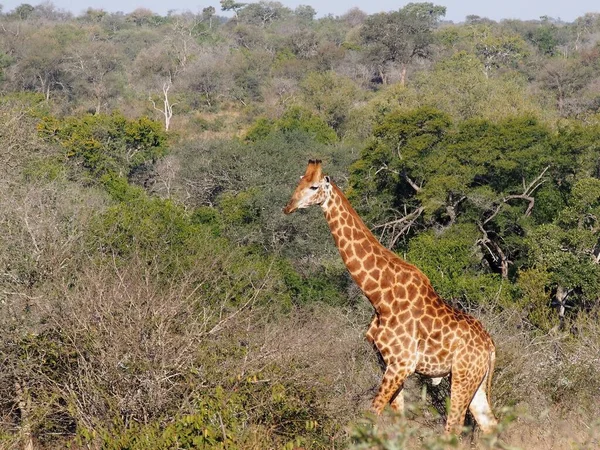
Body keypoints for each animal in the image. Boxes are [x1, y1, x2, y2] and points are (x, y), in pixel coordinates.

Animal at [284, 160, 500, 434]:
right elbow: (399, 422)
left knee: (453, 427)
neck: (379, 296)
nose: (288, 207)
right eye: (299, 181)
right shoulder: (386, 362)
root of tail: (490, 346)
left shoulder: (401, 363)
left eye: (314, 186)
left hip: (463, 375)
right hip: (476, 381)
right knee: (490, 424)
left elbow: (370, 415)